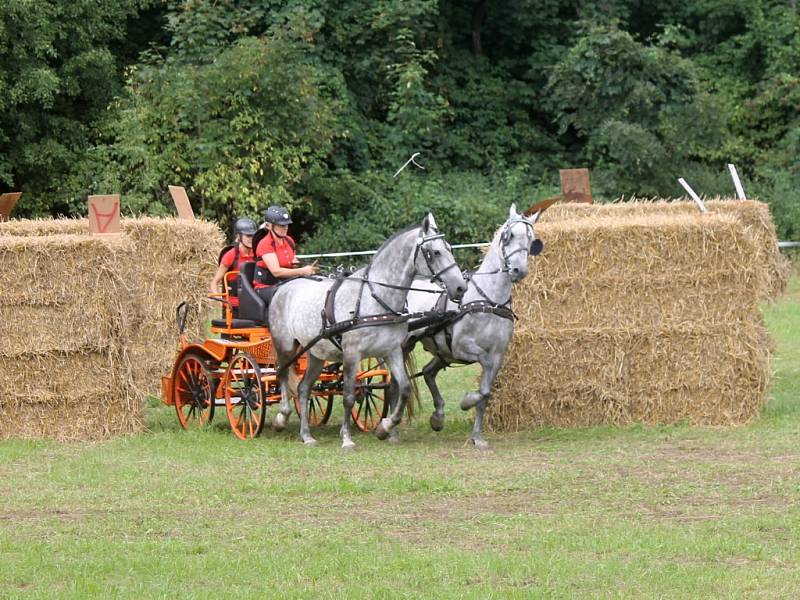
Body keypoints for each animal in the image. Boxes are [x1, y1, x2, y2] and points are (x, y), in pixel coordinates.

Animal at [268, 213, 468, 448]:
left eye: (450, 248)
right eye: (435, 252)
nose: (461, 288)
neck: (376, 298)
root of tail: (283, 288)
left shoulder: (392, 351)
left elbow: (403, 388)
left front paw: (385, 428)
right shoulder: (351, 353)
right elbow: (348, 396)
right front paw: (347, 439)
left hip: (316, 353)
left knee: (303, 388)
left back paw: (306, 435)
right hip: (285, 346)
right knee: (281, 374)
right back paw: (282, 417)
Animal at [404, 204, 540, 448]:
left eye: (531, 239)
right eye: (509, 236)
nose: (519, 271)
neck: (489, 301)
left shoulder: (498, 355)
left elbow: (485, 392)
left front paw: (477, 435)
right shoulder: (462, 347)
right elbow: (483, 369)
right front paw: (467, 401)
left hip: (442, 352)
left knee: (428, 372)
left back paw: (438, 417)